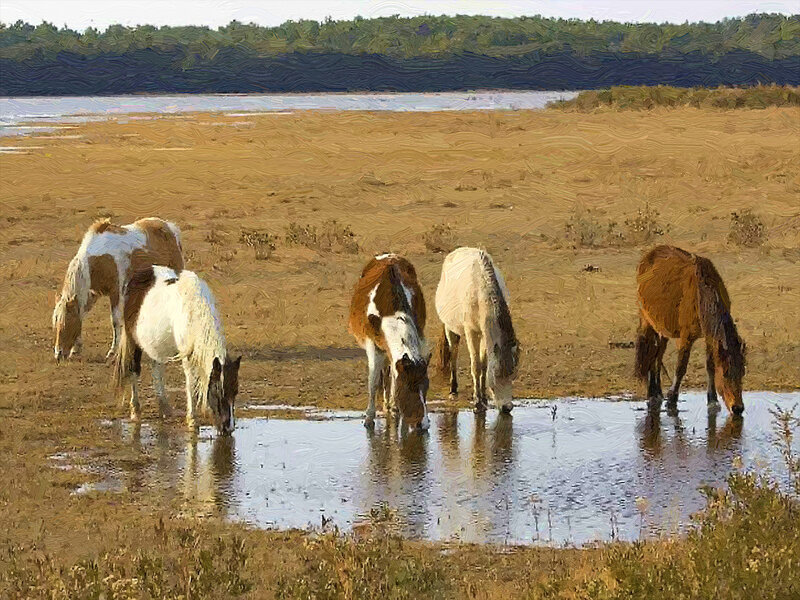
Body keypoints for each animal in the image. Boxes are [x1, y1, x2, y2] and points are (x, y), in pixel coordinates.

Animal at [52, 217, 183, 362]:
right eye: (55, 324)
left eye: (66, 323)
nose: (58, 354)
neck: (100, 259)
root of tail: (170, 227)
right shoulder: (93, 293)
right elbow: (82, 313)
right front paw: (76, 349)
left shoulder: (116, 291)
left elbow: (115, 320)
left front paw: (112, 352)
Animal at [112, 265, 241, 434]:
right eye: (218, 391)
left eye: (235, 391)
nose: (228, 427)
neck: (193, 310)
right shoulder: (187, 356)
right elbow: (190, 383)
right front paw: (192, 420)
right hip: (133, 341)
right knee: (134, 370)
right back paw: (135, 411)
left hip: (155, 345)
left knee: (157, 370)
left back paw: (165, 409)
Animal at [348, 253, 430, 431]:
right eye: (408, 387)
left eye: (426, 386)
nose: (423, 424)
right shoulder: (372, 345)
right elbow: (373, 381)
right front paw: (369, 417)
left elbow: (394, 375)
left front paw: (395, 409)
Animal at [434, 247, 519, 413]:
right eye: (497, 374)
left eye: (513, 374)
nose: (507, 407)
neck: (480, 292)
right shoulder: (470, 332)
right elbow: (475, 366)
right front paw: (477, 402)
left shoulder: (485, 334)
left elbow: (484, 364)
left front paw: (484, 398)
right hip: (450, 328)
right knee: (453, 354)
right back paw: (453, 390)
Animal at [635, 245, 745, 415]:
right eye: (726, 373)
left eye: (742, 372)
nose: (738, 408)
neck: (701, 294)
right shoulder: (686, 336)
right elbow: (681, 366)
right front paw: (672, 399)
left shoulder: (709, 336)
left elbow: (710, 366)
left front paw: (712, 400)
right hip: (648, 321)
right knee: (650, 351)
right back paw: (652, 394)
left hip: (663, 328)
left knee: (658, 355)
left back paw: (657, 392)